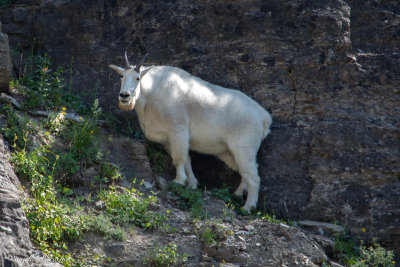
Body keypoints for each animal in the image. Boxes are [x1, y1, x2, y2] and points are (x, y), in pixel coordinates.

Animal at [109, 51, 272, 211]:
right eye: (122, 76)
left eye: (137, 78)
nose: (124, 96)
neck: (150, 93)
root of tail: (264, 117)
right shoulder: (167, 140)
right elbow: (187, 160)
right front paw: (192, 184)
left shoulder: (178, 129)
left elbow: (179, 158)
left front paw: (179, 181)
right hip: (228, 152)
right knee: (246, 172)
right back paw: (238, 194)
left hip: (243, 148)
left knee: (254, 177)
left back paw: (248, 207)